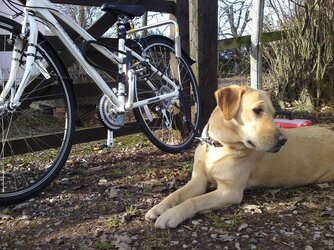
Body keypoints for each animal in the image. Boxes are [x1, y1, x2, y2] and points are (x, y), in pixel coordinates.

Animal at [146, 84, 334, 229]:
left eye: (274, 115)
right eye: (257, 110)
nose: (283, 140)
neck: (219, 145)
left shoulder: (229, 191)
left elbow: (194, 201)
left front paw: (172, 215)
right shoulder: (198, 181)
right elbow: (176, 194)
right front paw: (159, 208)